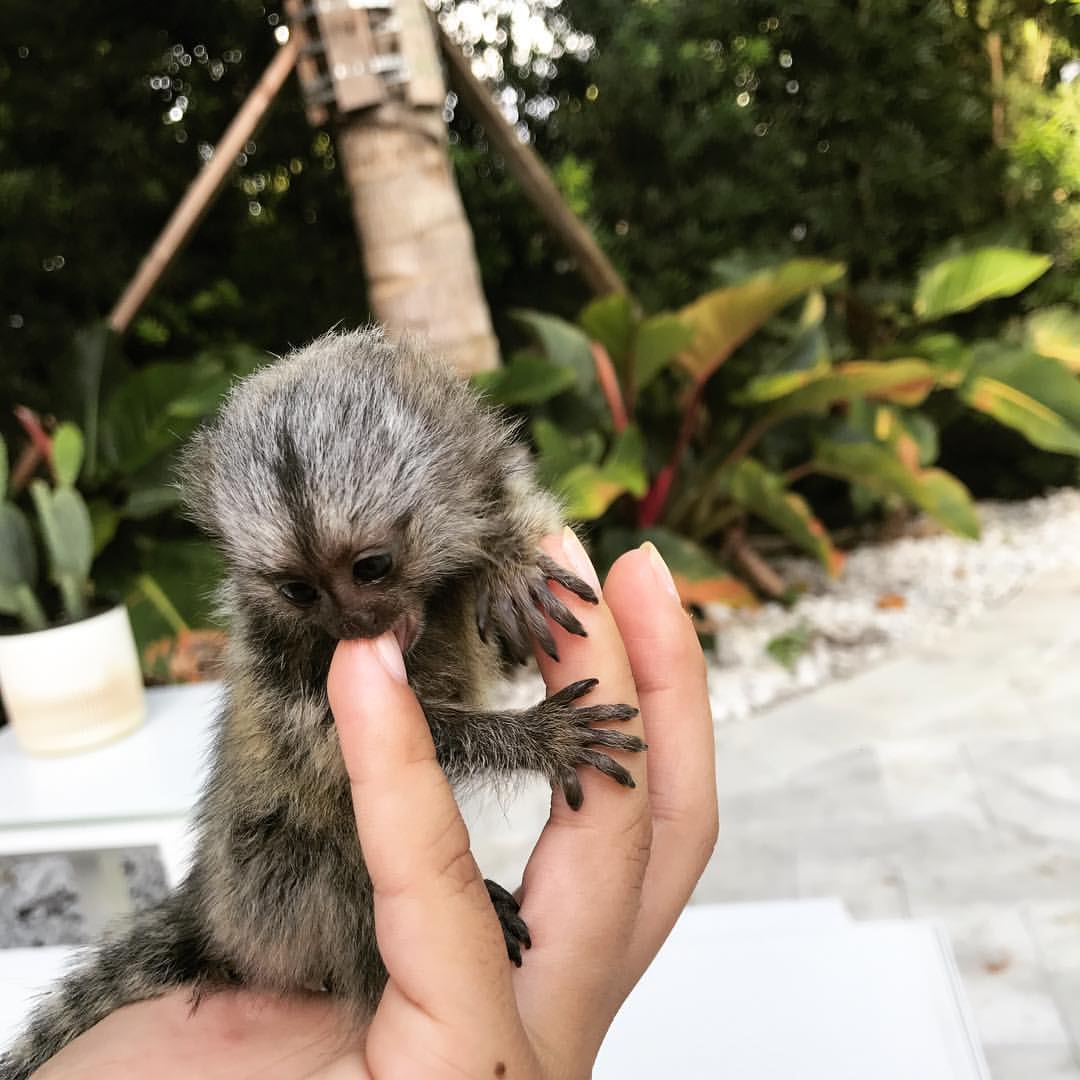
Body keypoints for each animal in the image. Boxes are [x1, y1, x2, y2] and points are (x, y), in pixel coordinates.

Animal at [1, 327, 645, 1079]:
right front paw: (542, 737)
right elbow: (332, 748)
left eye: (371, 568)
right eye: (299, 592)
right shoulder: (273, 649)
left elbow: (509, 507)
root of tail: (209, 908)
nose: (352, 623)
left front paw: (510, 565)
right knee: (319, 852)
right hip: (265, 898)